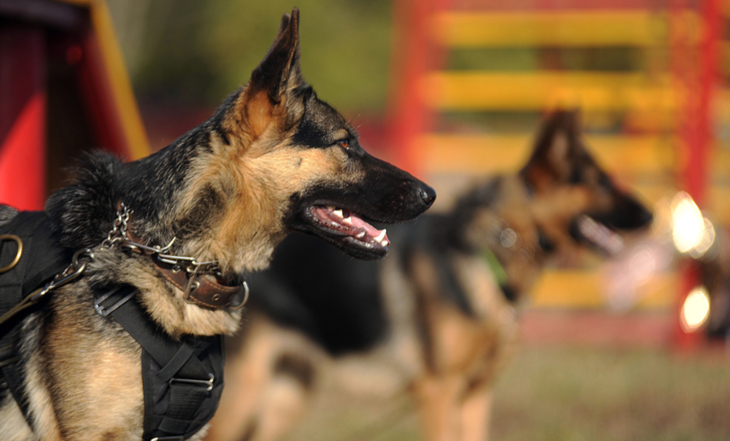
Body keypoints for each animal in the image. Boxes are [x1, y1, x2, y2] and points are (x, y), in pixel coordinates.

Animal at [203, 109, 648, 440]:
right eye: (601, 183)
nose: (651, 216)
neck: (491, 250)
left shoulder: (475, 396)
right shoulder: (438, 393)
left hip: (284, 396)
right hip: (243, 396)